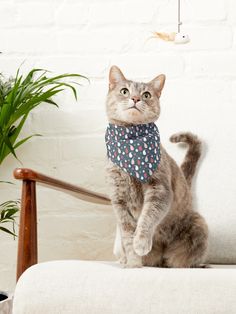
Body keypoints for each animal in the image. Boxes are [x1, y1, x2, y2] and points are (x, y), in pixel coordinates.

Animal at [105, 65, 208, 268]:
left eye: (146, 94)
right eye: (124, 91)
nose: (135, 98)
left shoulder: (159, 189)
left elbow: (147, 218)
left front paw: (141, 243)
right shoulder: (118, 200)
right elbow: (128, 235)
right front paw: (133, 263)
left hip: (198, 225)